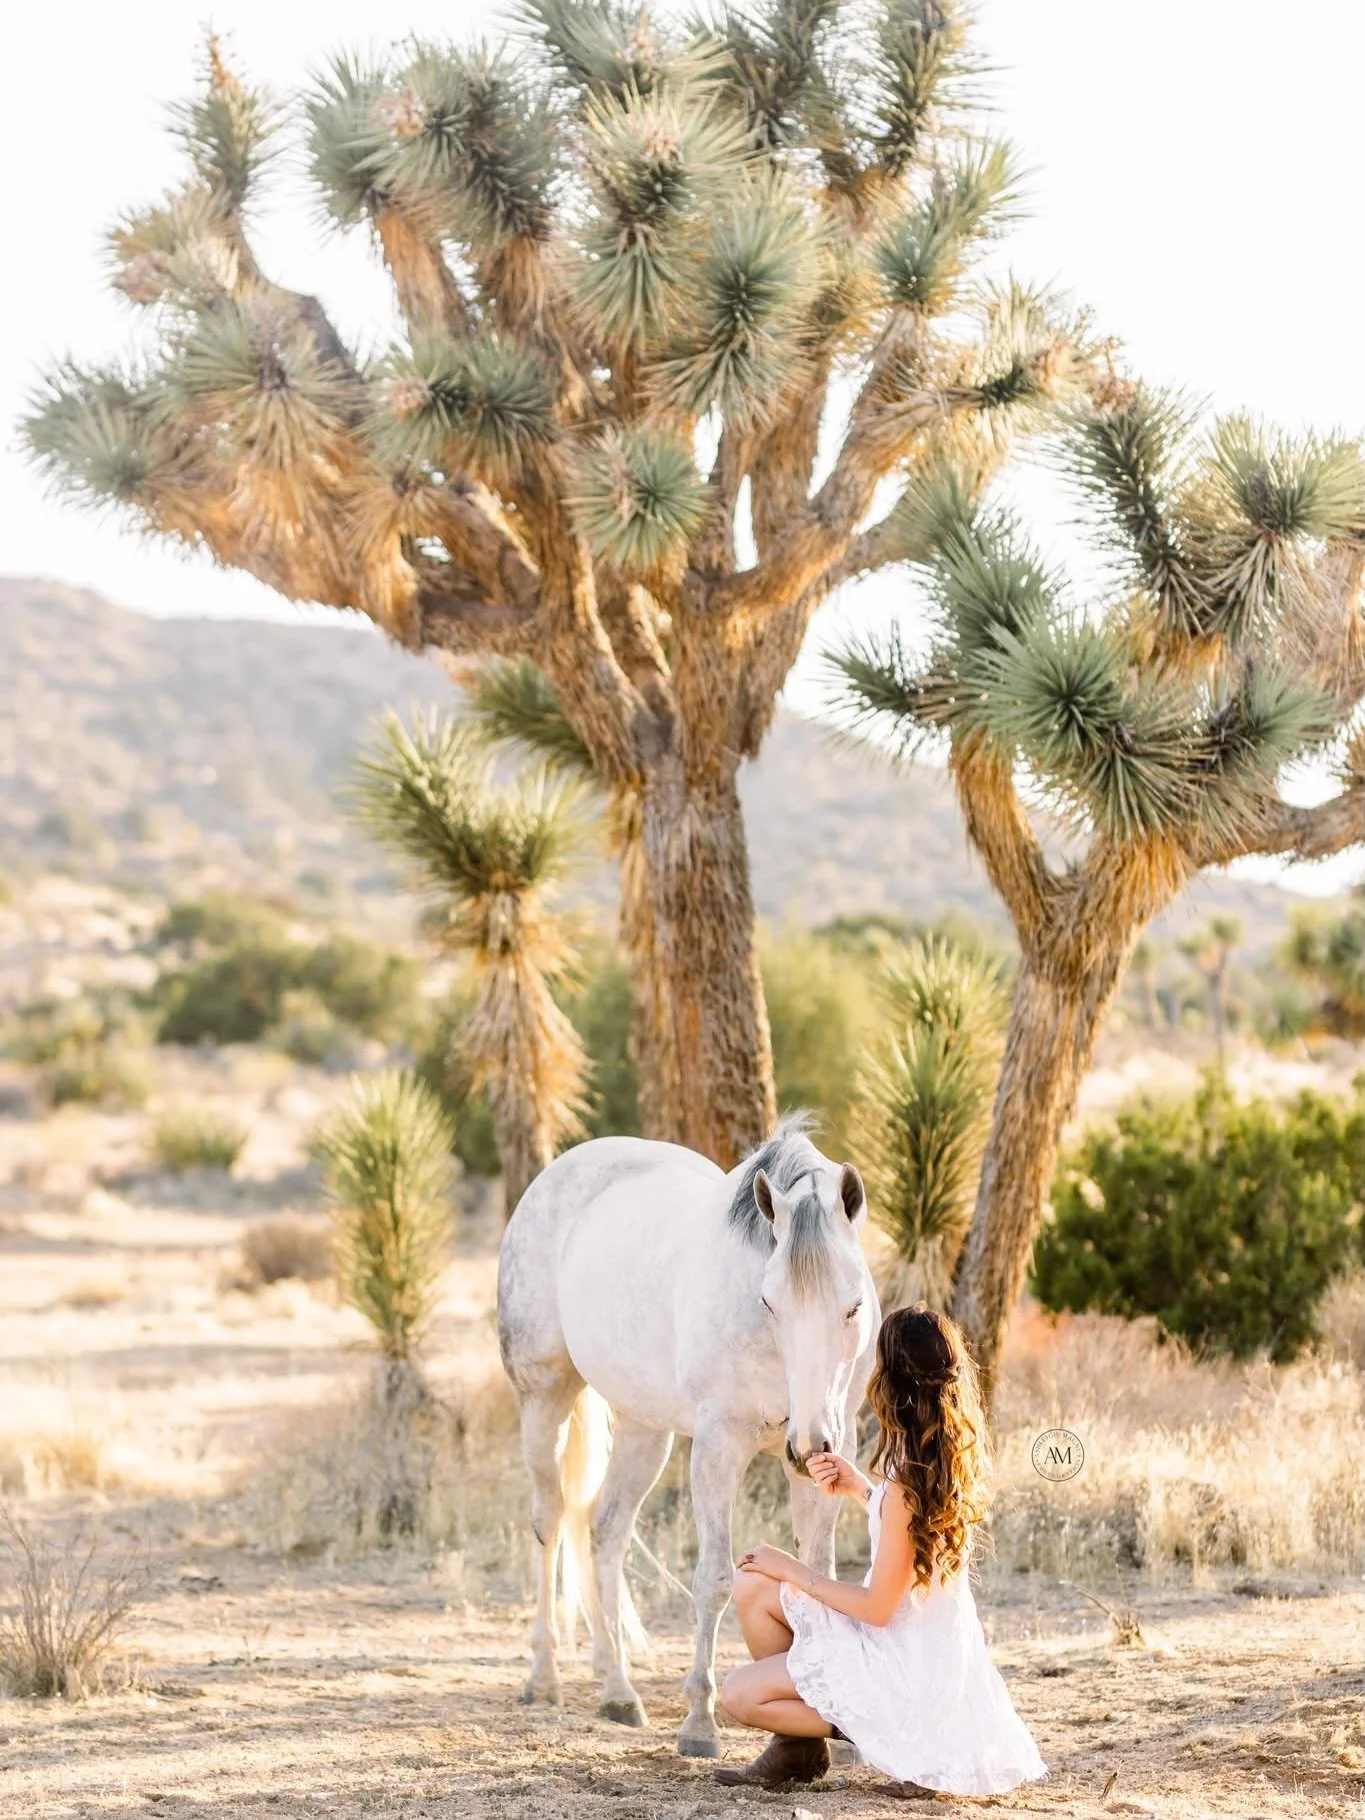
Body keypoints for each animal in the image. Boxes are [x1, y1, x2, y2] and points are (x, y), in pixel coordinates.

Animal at [497, 1114, 880, 1757]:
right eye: (769, 1301)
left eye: (852, 1307)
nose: (807, 1447)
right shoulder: (719, 1445)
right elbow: (714, 1580)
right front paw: (700, 1723)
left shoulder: (833, 1450)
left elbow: (819, 1577)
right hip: (544, 1399)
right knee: (549, 1523)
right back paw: (544, 1679)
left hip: (644, 1430)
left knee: (605, 1533)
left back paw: (617, 1690)